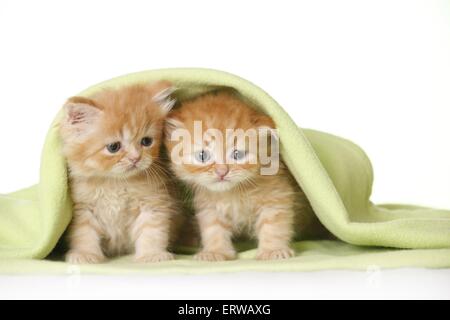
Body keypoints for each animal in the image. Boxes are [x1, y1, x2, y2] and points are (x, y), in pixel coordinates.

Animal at [59, 81, 179, 264]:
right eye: (113, 147)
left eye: (146, 141)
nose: (136, 158)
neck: (115, 183)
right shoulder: (83, 208)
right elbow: (84, 234)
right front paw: (85, 254)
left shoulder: (153, 202)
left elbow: (152, 231)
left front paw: (152, 255)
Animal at [165, 91, 326, 262]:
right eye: (202, 156)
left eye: (238, 154)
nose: (222, 172)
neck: (233, 193)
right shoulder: (209, 206)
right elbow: (213, 229)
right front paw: (215, 252)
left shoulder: (277, 196)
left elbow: (273, 226)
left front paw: (273, 250)